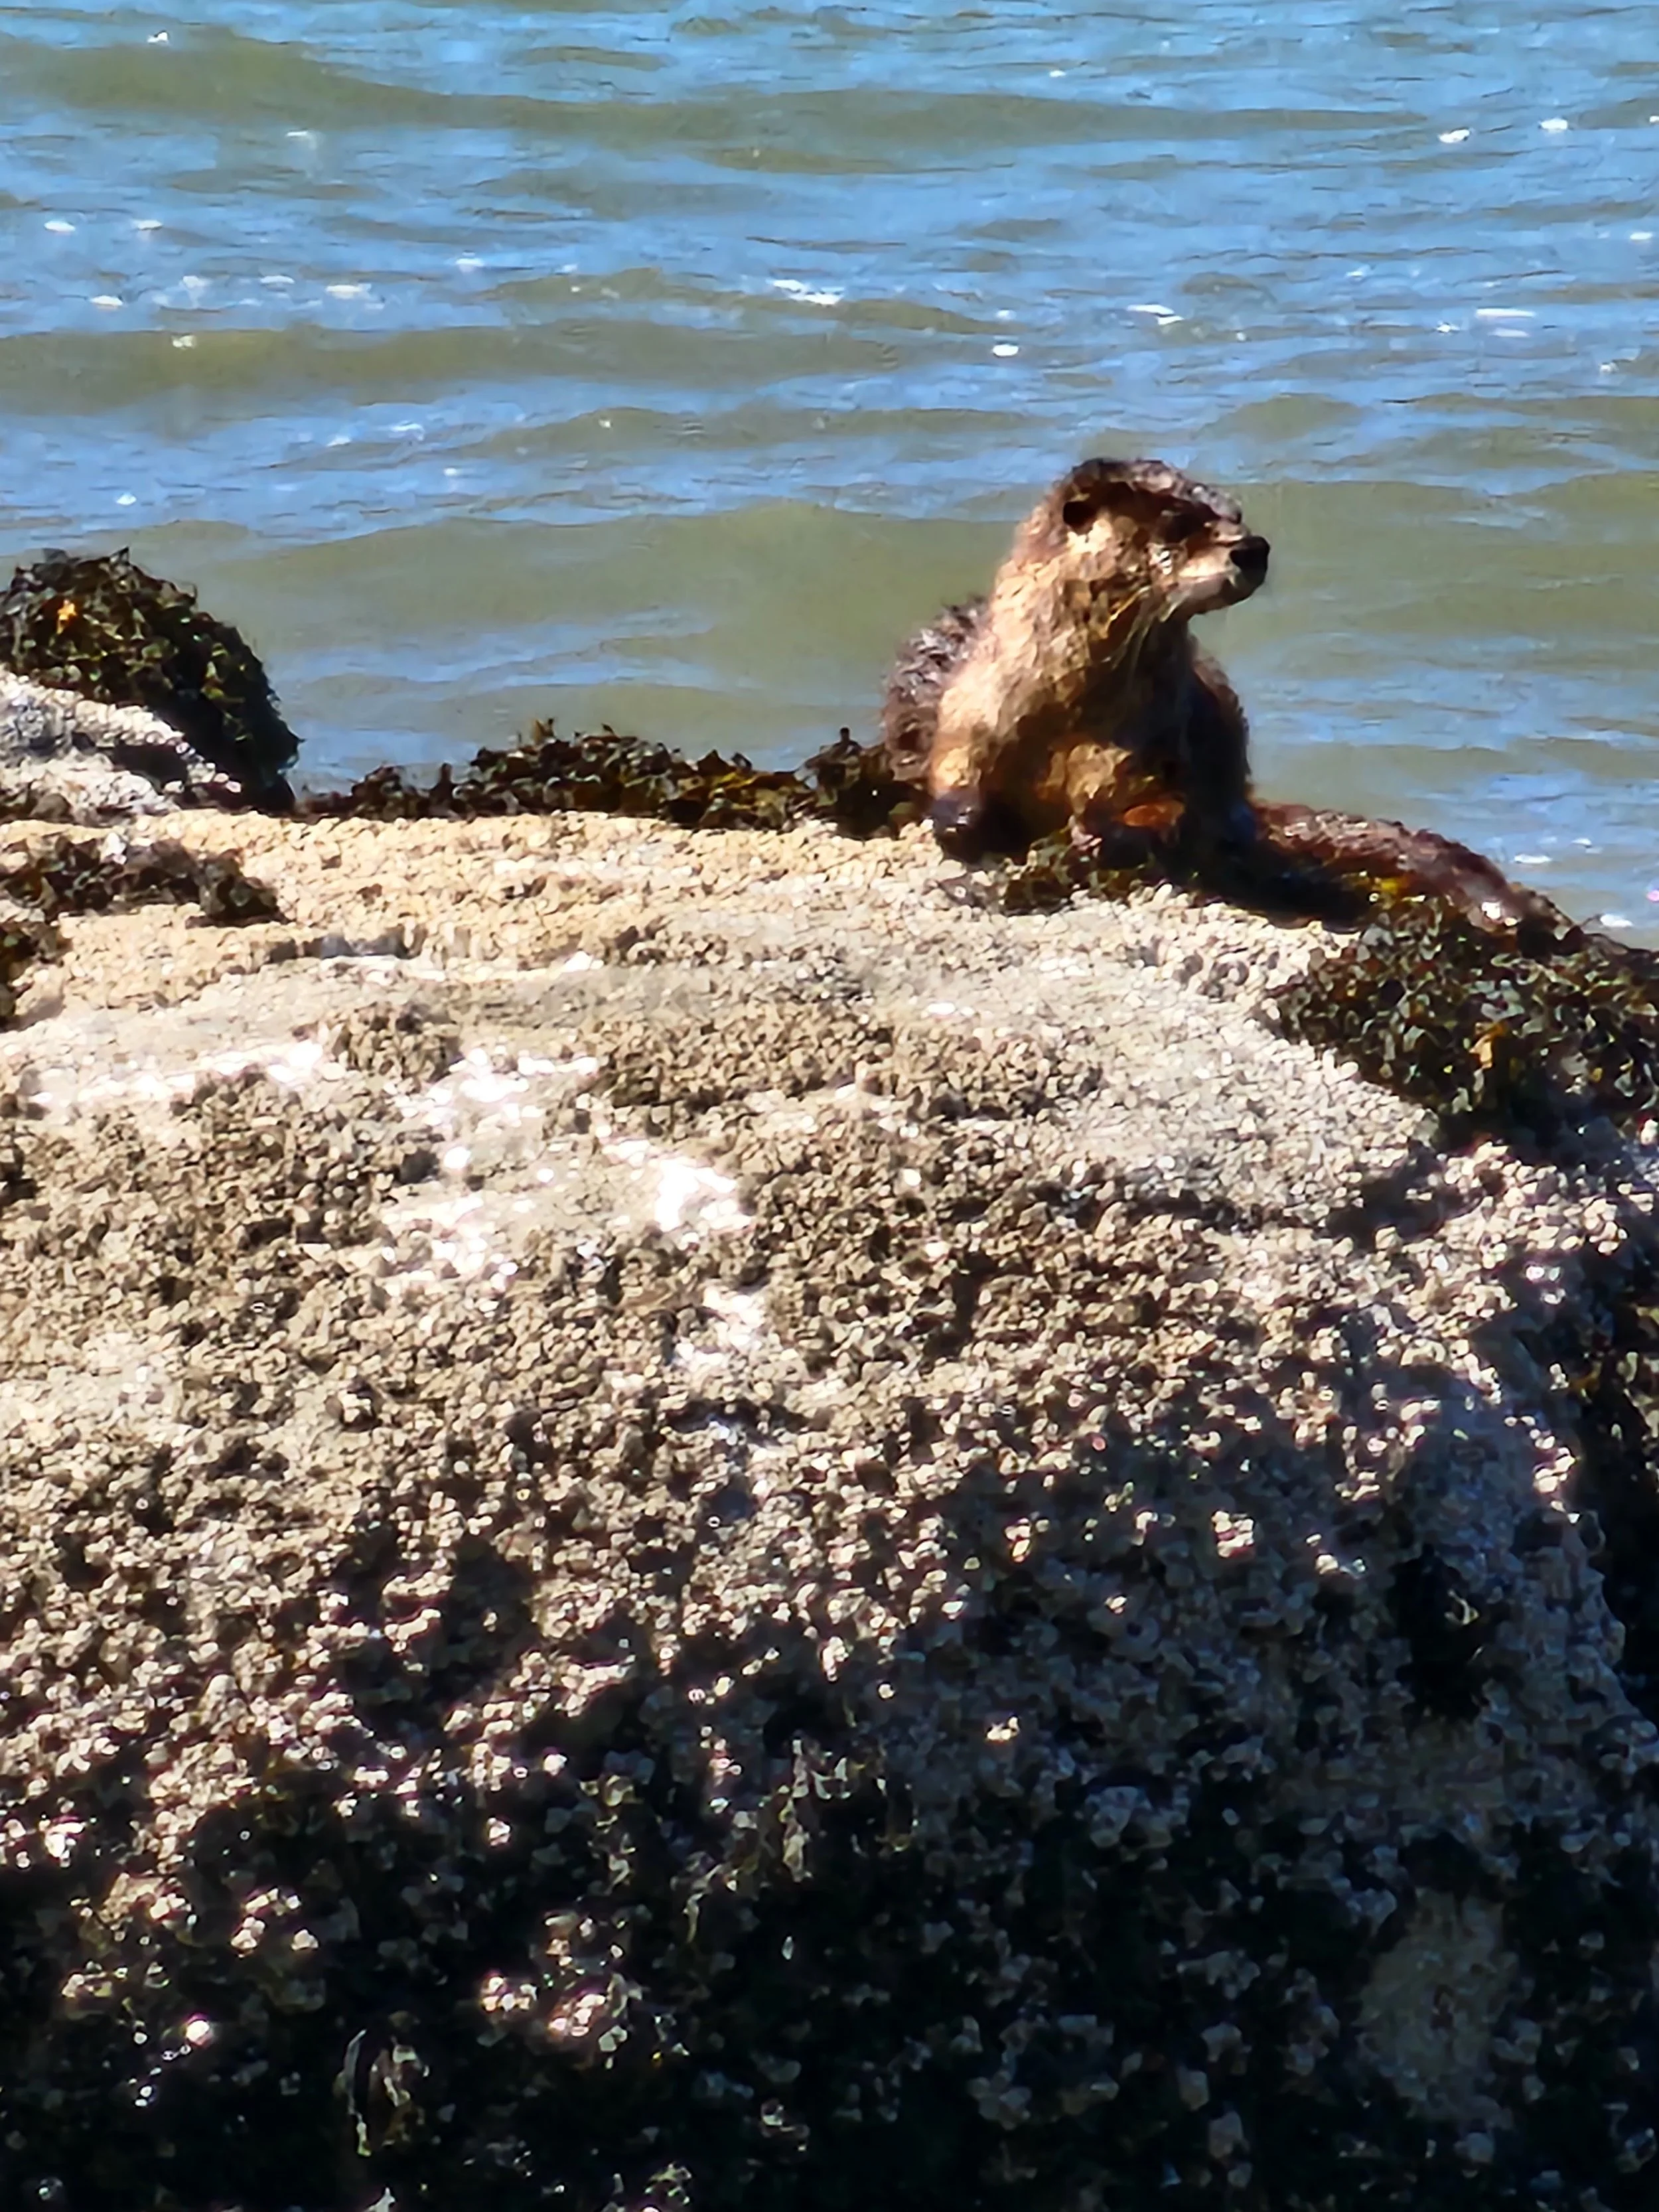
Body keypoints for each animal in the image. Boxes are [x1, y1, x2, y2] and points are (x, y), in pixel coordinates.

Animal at [881, 456, 1268, 859]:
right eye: (1177, 523)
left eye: (1237, 513)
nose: (1253, 548)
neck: (1058, 713)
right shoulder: (971, 709)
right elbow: (951, 761)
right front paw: (957, 819)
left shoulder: (1152, 740)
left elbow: (1165, 803)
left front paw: (1110, 832)